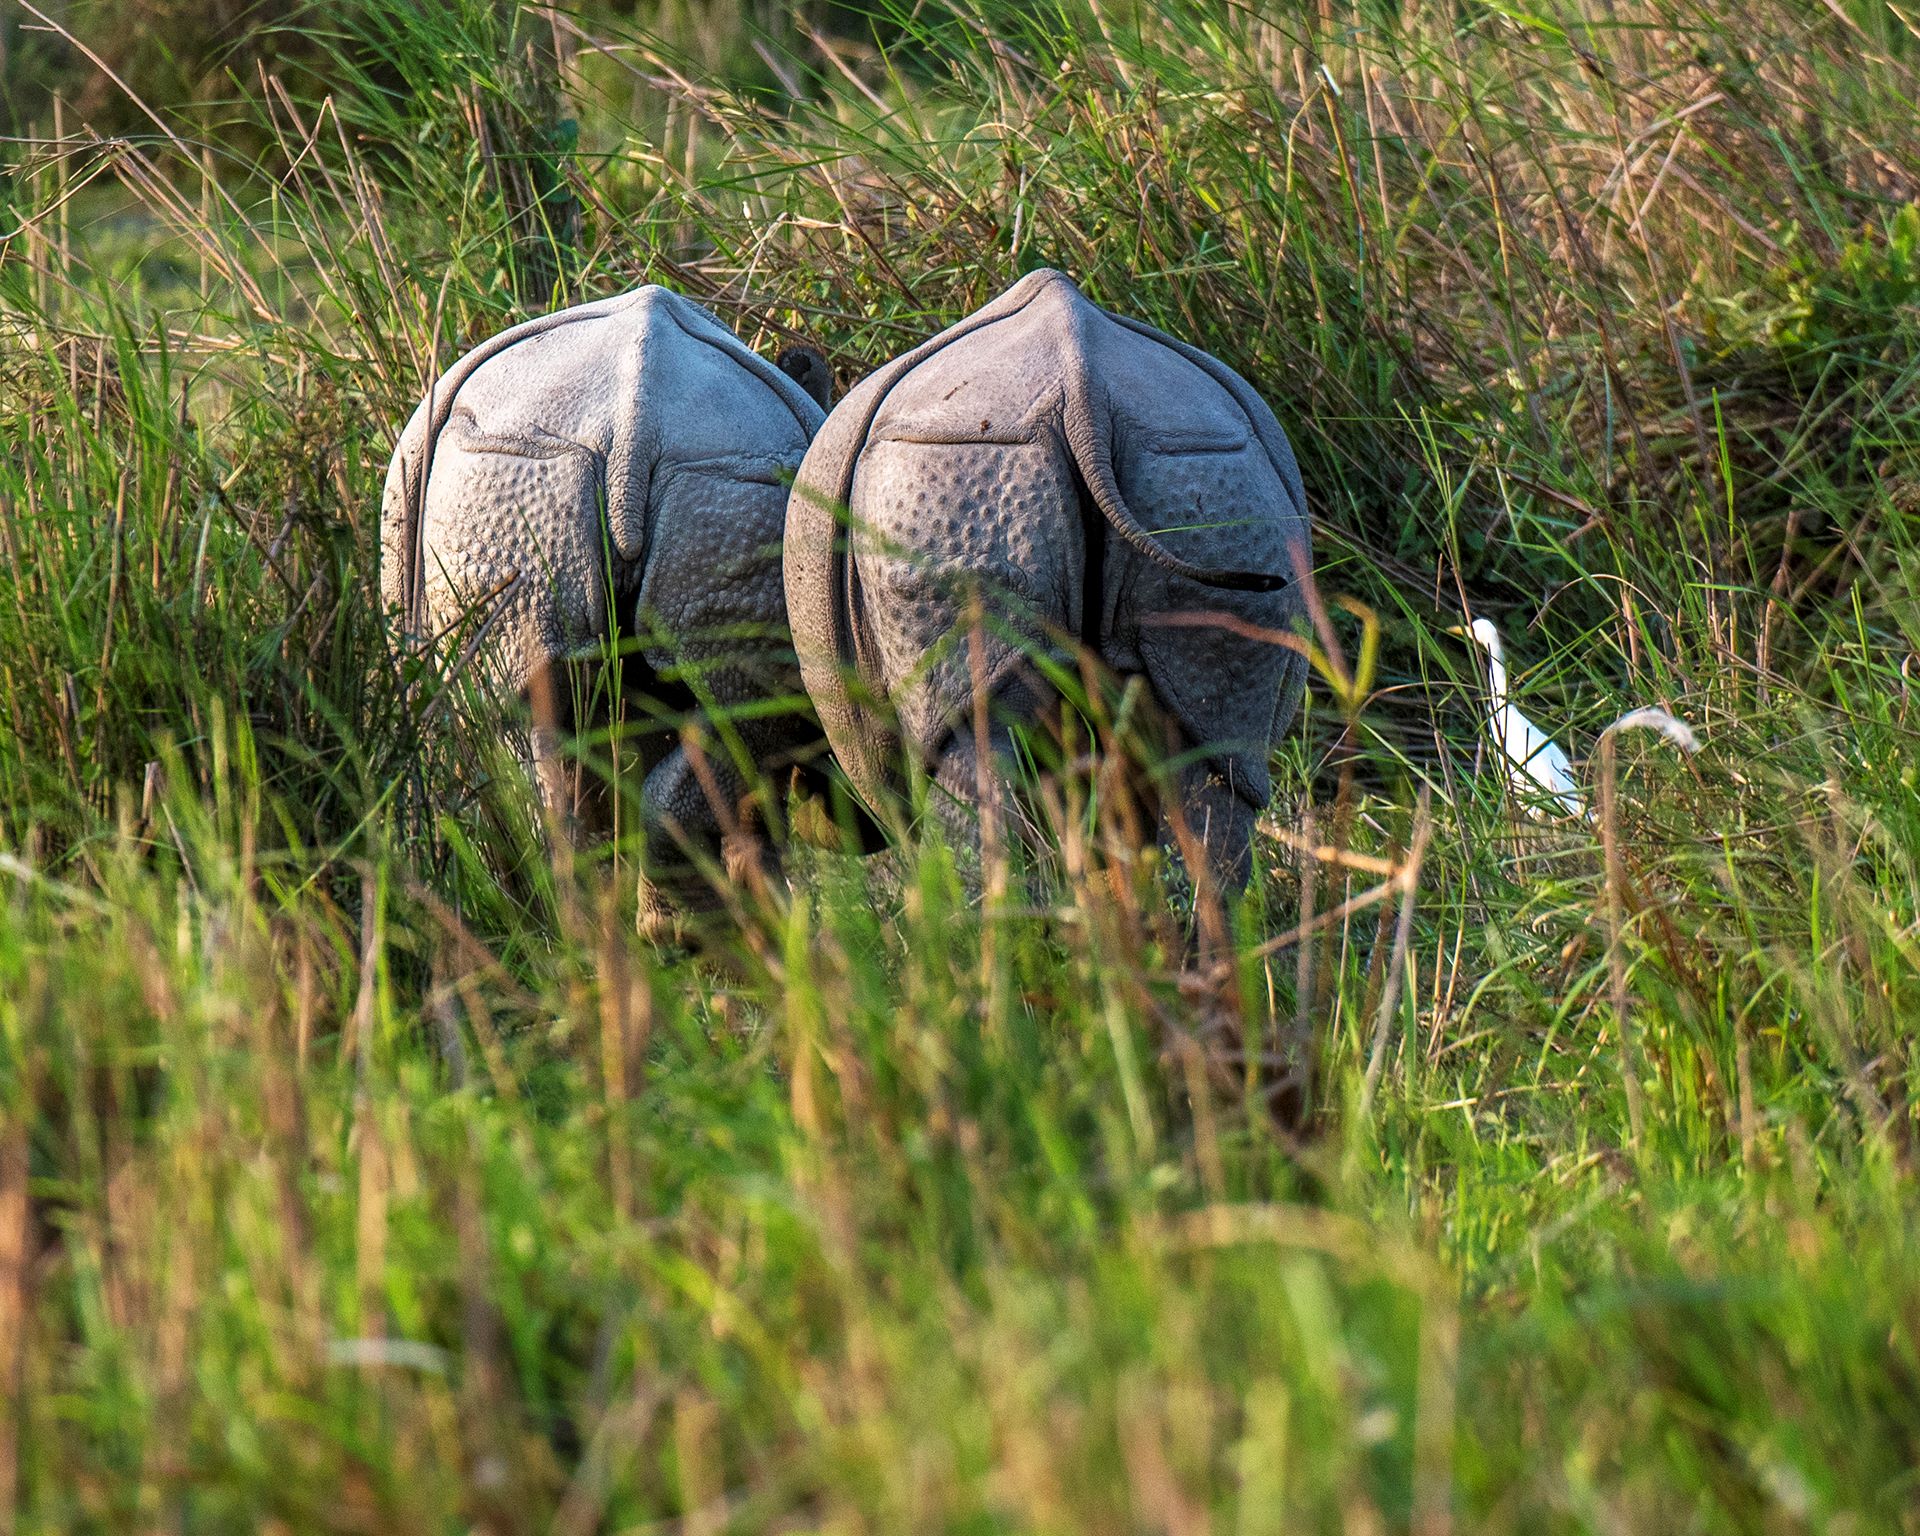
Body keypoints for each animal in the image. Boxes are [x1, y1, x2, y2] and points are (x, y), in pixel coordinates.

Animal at [783, 268, 1311, 893]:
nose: (812, 817)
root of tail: (1084, 396)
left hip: (962, 470)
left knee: (968, 760)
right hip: (1211, 473)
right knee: (1215, 757)